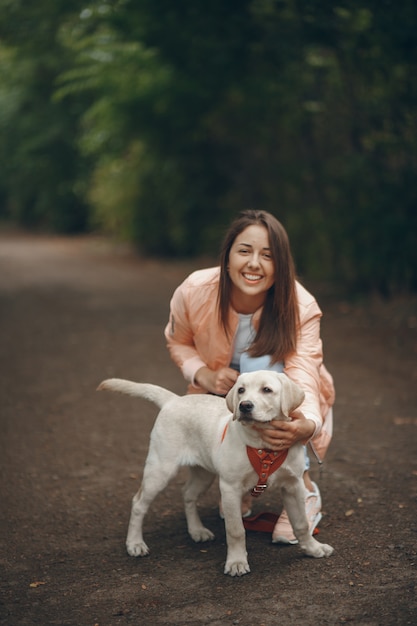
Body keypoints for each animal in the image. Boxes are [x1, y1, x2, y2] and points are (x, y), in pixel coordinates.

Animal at [96, 370, 332, 576]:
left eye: (267, 390)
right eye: (241, 390)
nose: (244, 406)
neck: (263, 444)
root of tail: (174, 400)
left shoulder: (293, 485)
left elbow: (301, 523)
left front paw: (313, 548)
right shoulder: (230, 488)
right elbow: (236, 530)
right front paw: (236, 563)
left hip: (204, 473)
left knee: (187, 494)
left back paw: (196, 530)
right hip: (161, 469)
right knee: (138, 503)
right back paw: (135, 543)